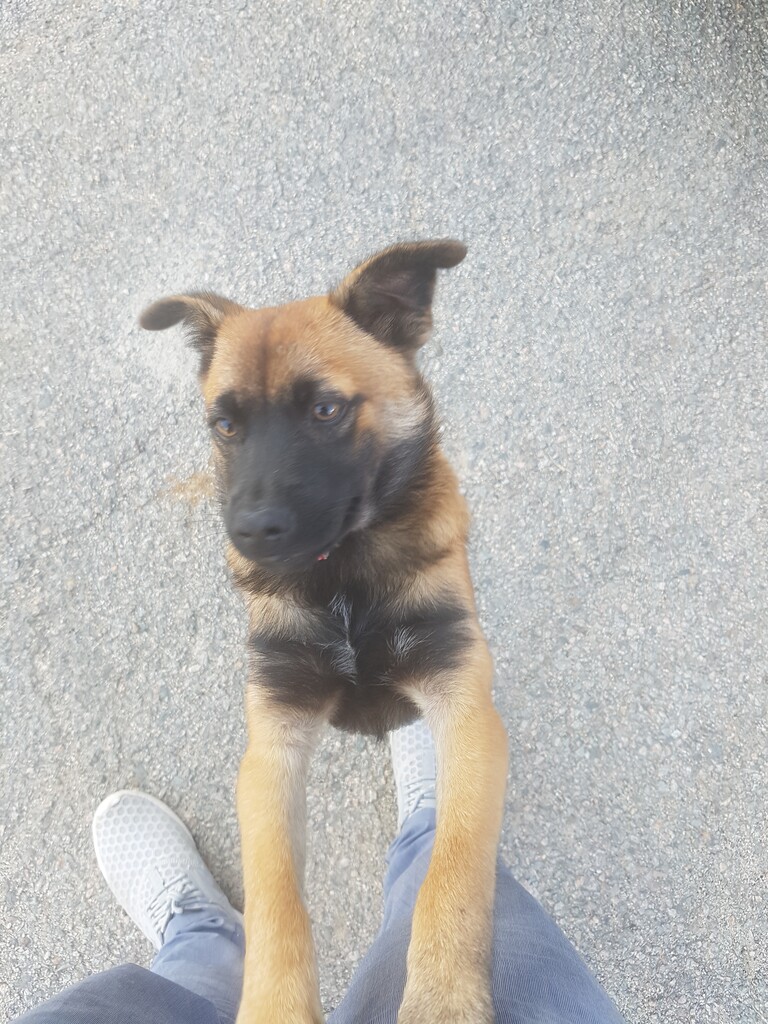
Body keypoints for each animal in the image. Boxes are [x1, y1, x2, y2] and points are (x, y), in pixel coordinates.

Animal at [140, 240, 509, 1024]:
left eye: (326, 409)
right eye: (224, 425)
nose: (250, 534)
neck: (343, 577)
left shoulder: (463, 708)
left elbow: (454, 868)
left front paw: (443, 992)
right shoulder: (272, 746)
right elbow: (276, 898)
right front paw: (274, 1004)